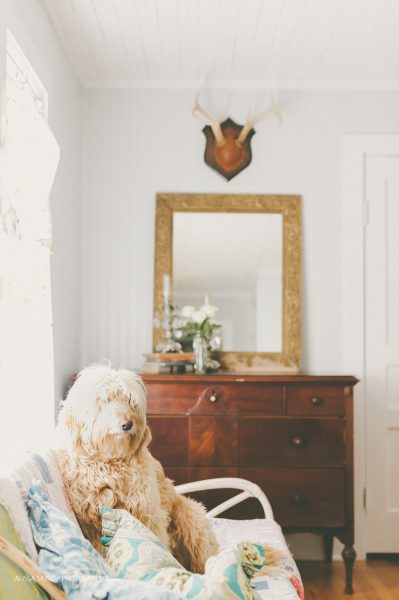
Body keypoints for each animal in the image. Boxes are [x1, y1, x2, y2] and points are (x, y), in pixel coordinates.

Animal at [54, 364, 219, 568]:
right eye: (106, 400)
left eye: (130, 401)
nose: (127, 424)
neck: (109, 462)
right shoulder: (89, 521)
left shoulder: (147, 512)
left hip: (192, 518)